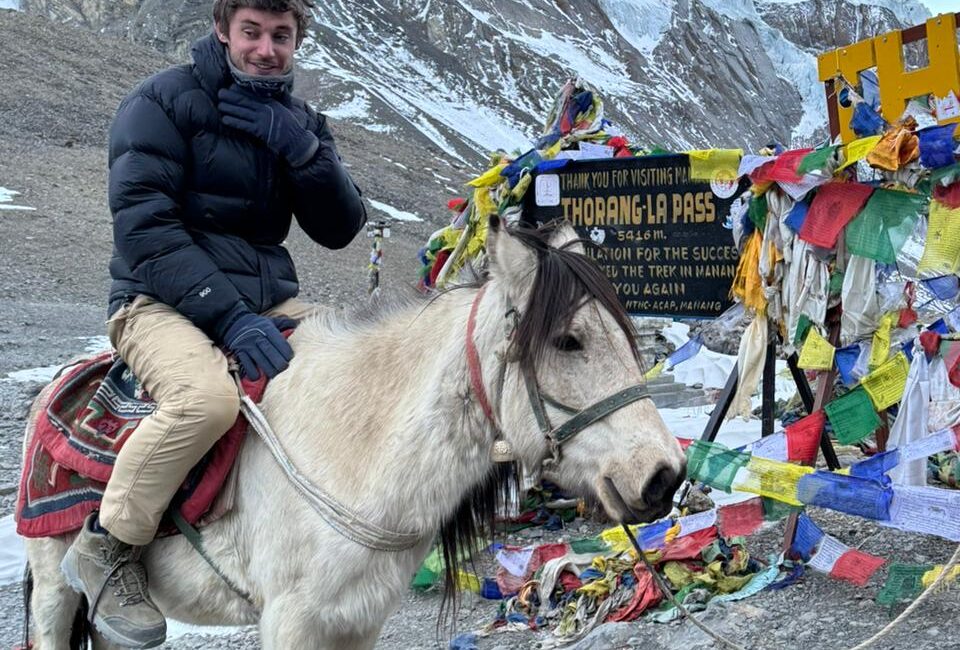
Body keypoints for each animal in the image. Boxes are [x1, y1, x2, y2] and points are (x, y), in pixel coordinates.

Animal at [20, 219, 684, 648]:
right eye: (568, 340)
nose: (663, 477)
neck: (355, 448)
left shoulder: (358, 622)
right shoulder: (290, 622)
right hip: (55, 589)